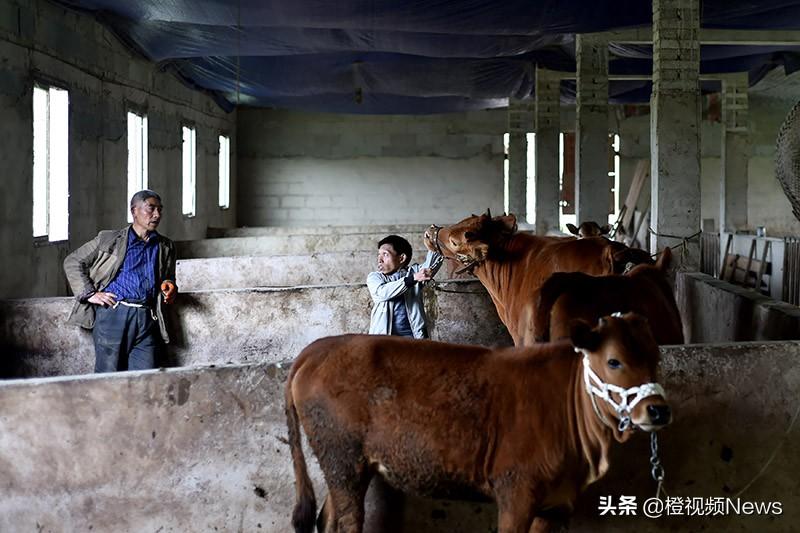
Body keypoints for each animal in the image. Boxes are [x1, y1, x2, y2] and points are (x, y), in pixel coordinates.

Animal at [286, 314, 668, 528]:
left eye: (657, 357)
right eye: (614, 360)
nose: (658, 410)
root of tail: (318, 348)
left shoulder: (557, 505)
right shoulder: (516, 490)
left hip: (347, 463)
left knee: (327, 517)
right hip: (342, 455)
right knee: (348, 519)